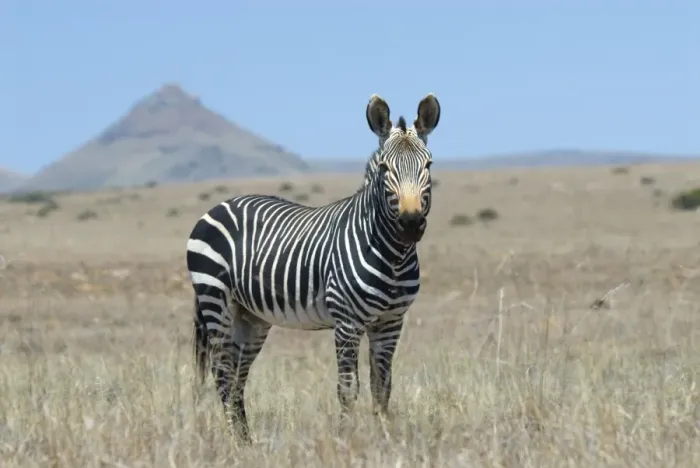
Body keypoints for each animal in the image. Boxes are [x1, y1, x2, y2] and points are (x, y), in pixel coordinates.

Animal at [187, 93, 441, 443]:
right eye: (385, 169)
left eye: (428, 165)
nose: (411, 224)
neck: (394, 257)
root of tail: (220, 204)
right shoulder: (347, 322)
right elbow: (348, 389)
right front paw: (346, 440)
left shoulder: (391, 322)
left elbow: (382, 387)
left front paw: (385, 439)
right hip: (215, 300)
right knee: (223, 373)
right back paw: (234, 442)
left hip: (250, 316)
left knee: (238, 375)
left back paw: (247, 441)